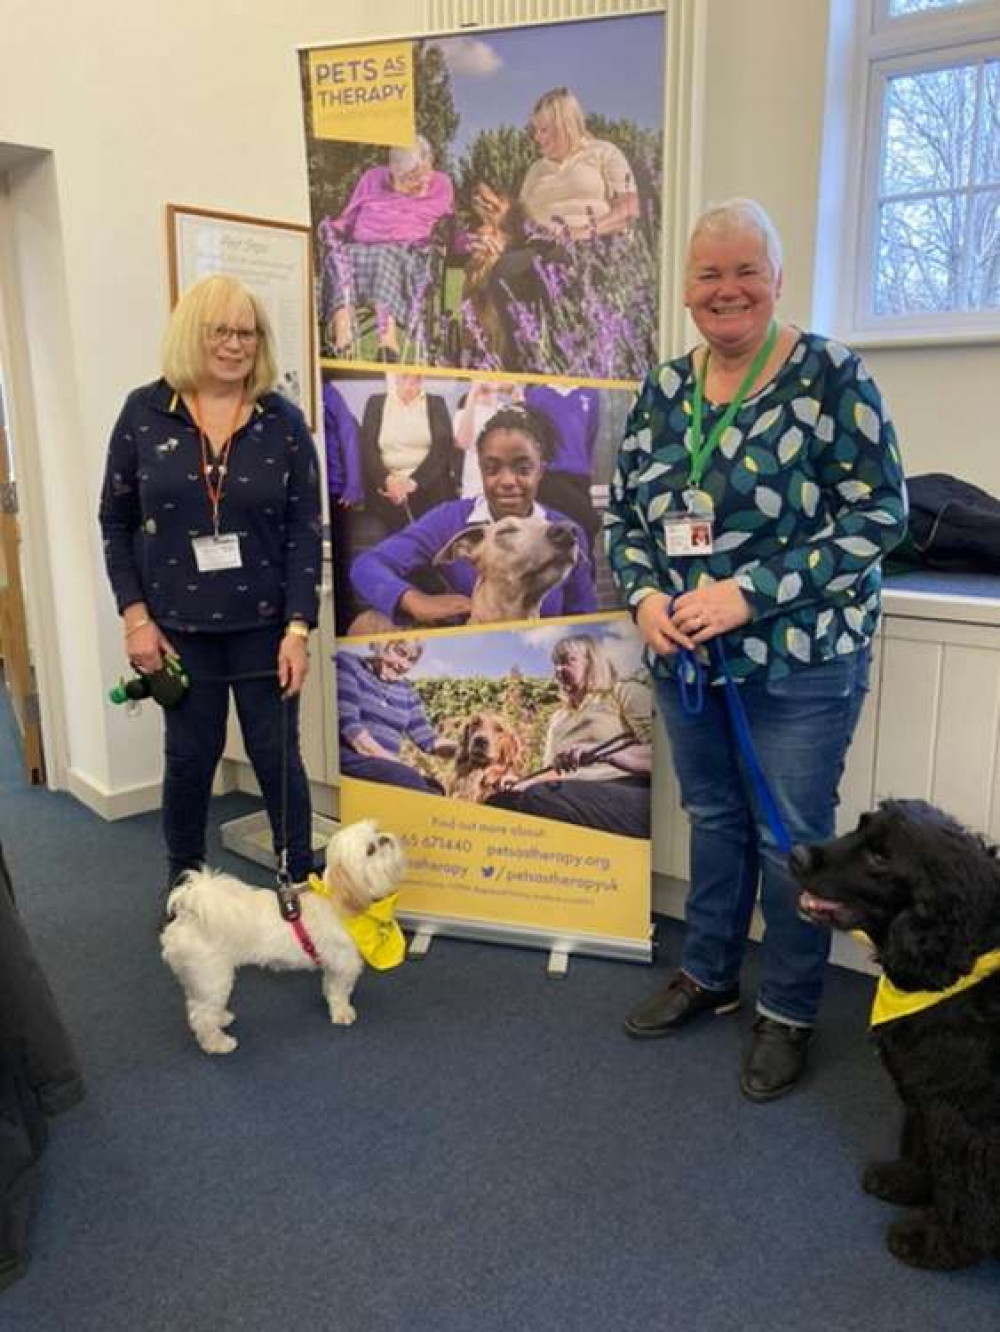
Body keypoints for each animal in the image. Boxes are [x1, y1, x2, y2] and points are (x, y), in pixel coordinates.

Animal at [160, 815, 402, 1054]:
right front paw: (342, 1013)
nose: (385, 838)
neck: (338, 900)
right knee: (201, 1016)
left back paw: (222, 1019)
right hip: (213, 977)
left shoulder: (332, 965)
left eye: (377, 832)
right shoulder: (344, 964)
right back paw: (218, 1043)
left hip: (200, 978)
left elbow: (330, 986)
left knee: (197, 1006)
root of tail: (188, 914)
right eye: (370, 850)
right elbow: (340, 992)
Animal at [788, 799, 1000, 1268]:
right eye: (859, 827)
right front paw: (906, 1181)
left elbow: (961, 1191)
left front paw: (939, 1243)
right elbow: (925, 1150)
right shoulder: (928, 1095)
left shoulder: (966, 1119)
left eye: (880, 858)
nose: (795, 855)